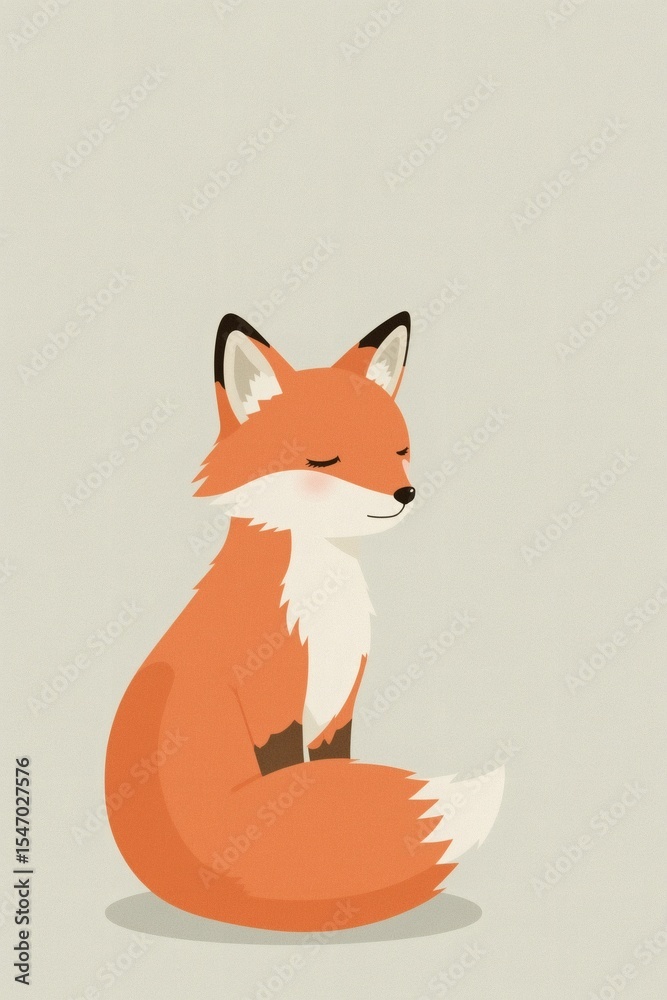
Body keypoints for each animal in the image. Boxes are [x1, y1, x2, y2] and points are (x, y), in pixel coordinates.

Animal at [105, 311, 505, 932]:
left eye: (400, 450)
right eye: (324, 459)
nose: (407, 492)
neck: (324, 604)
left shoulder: (339, 707)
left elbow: (331, 771)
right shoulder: (274, 702)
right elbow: (292, 776)